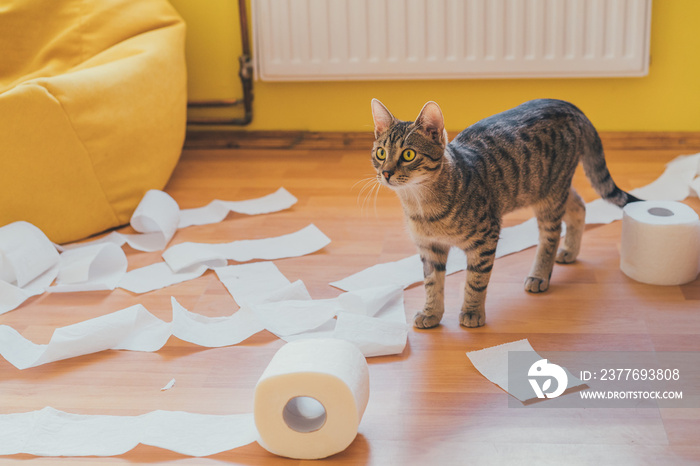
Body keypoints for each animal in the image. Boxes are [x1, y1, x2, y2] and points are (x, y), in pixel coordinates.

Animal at [372, 99, 640, 328]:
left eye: (408, 154)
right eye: (381, 153)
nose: (386, 172)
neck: (421, 206)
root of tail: (569, 105)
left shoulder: (486, 237)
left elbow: (476, 281)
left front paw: (472, 312)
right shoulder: (429, 248)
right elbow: (432, 283)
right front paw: (432, 313)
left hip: (550, 195)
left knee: (551, 236)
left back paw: (540, 275)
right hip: (550, 190)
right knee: (580, 206)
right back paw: (570, 252)